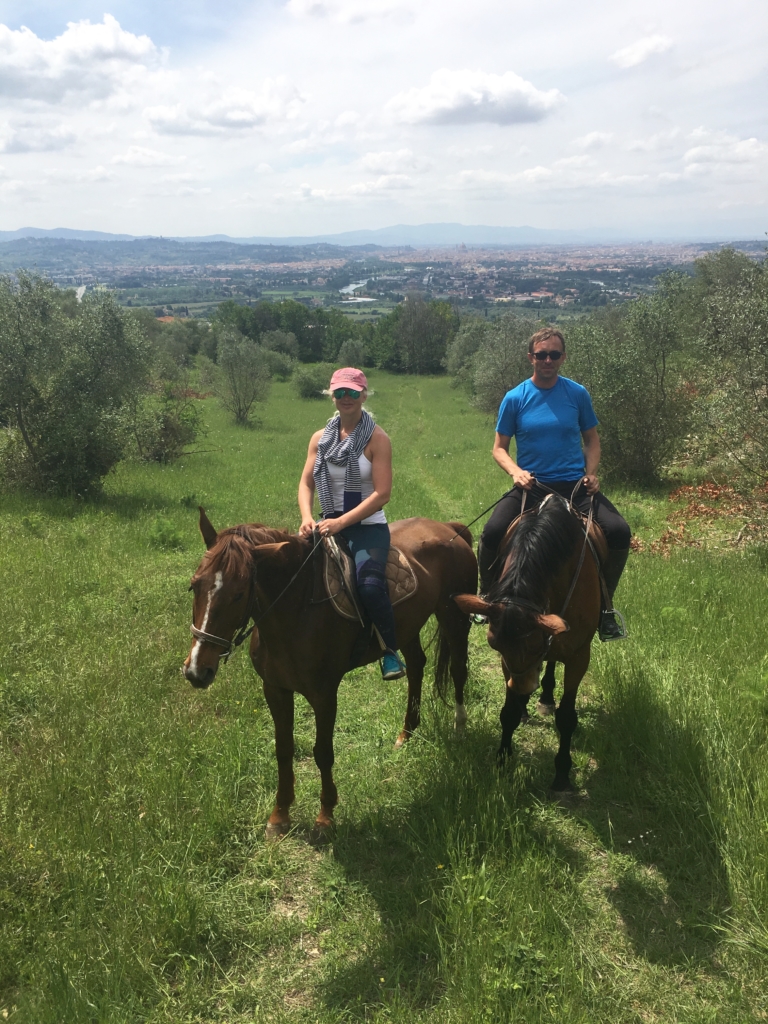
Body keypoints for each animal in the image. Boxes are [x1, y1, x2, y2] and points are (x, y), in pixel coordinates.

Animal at [183, 512, 479, 839]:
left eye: (238, 594)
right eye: (194, 586)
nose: (197, 670)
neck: (297, 610)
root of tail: (449, 529)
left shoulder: (324, 695)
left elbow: (323, 752)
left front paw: (325, 818)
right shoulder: (275, 689)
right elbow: (283, 749)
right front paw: (279, 815)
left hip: (454, 617)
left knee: (458, 669)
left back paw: (459, 727)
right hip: (406, 627)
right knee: (416, 666)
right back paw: (406, 733)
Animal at [454, 495, 606, 790]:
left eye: (535, 645)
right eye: (495, 646)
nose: (523, 687)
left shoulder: (579, 655)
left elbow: (567, 717)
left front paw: (562, 774)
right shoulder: (508, 662)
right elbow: (509, 711)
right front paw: (503, 759)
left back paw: (544, 697)